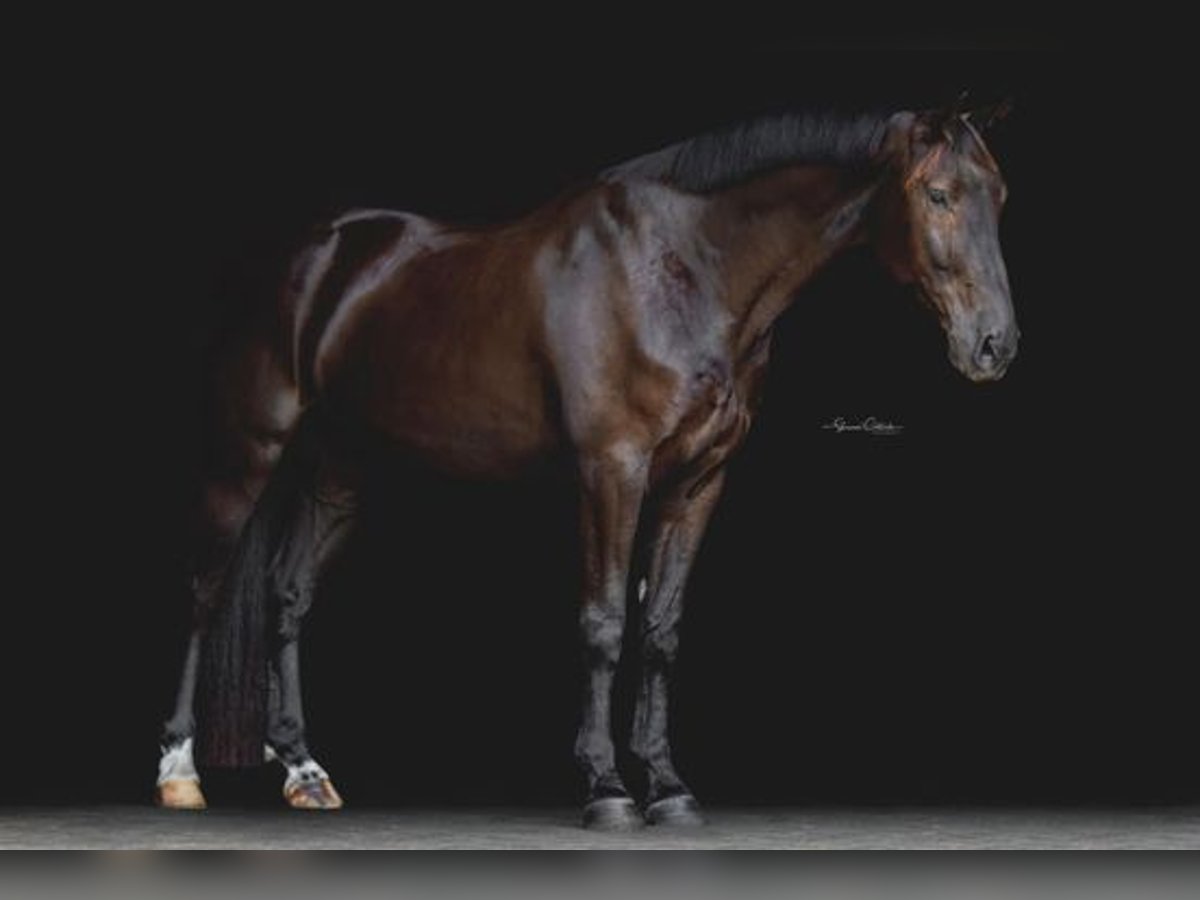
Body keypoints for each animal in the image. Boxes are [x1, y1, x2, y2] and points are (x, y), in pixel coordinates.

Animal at [154, 100, 1022, 830]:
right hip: (251, 448)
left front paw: (668, 787)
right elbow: (604, 624)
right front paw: (605, 787)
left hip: (341, 470)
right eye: (939, 194)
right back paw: (179, 770)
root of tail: (316, 250)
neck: (684, 269)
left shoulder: (697, 481)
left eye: (1001, 196)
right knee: (205, 589)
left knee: (287, 596)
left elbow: (662, 631)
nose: (994, 345)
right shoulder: (613, 469)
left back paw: (305, 771)